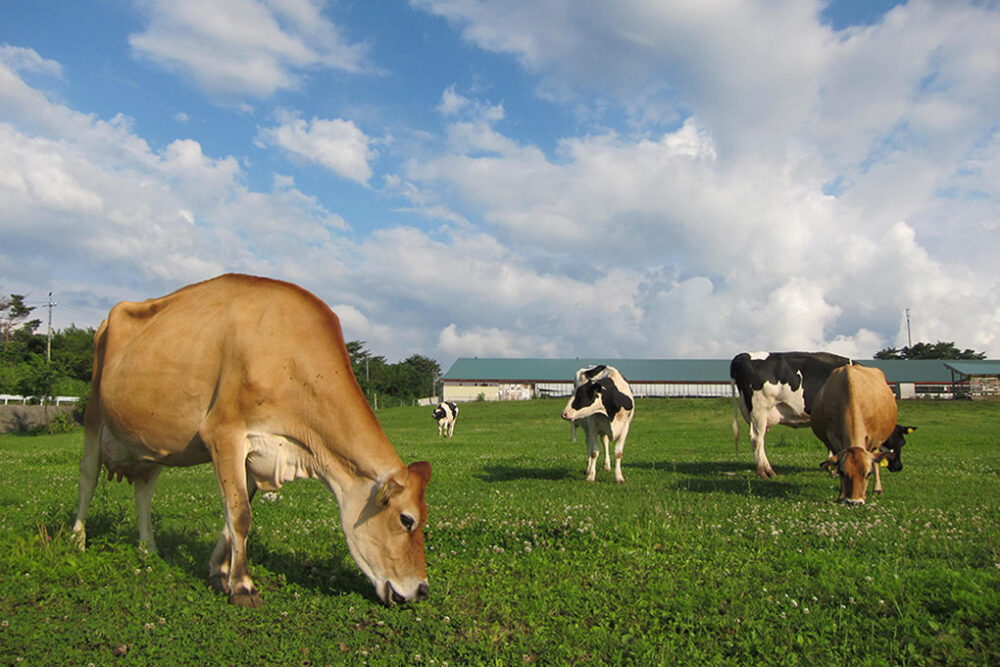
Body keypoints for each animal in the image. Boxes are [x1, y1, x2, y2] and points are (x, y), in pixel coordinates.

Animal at [69, 274, 430, 608]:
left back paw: (149, 549)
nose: (422, 589)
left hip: (153, 441)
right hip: (94, 410)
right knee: (88, 477)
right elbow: (240, 514)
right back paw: (77, 541)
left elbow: (234, 516)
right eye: (406, 519)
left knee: (144, 489)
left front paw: (219, 572)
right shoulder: (224, 433)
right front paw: (242, 586)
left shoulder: (260, 453)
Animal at [808, 366, 896, 506]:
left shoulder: (872, 439)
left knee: (877, 460)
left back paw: (877, 488)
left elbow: (874, 461)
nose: (855, 502)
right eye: (843, 472)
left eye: (868, 473)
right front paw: (841, 495)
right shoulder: (834, 440)